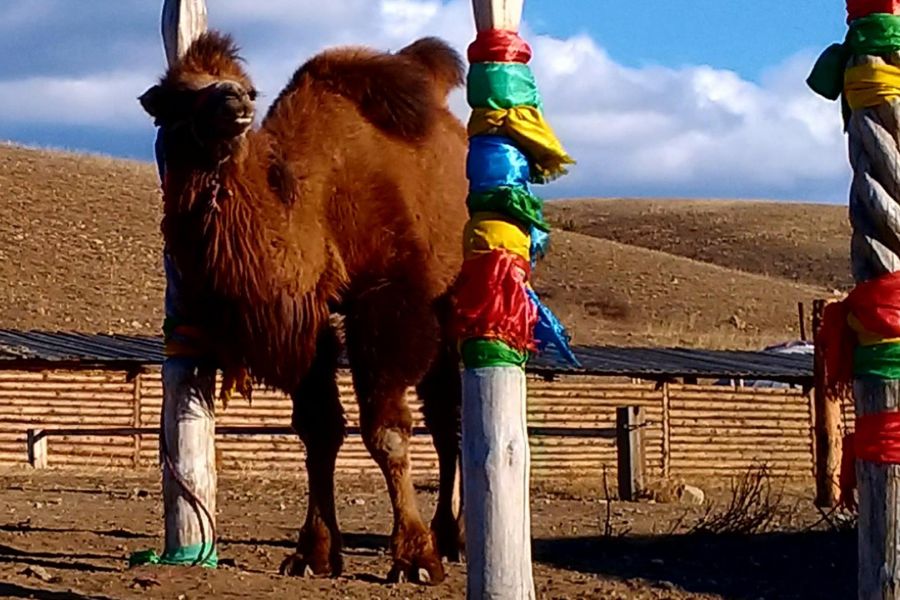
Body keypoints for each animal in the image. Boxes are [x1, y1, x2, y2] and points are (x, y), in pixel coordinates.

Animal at [139, 30, 472, 584]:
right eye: (175, 96)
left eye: (249, 87)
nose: (235, 101)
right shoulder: (306, 320)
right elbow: (318, 430)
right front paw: (313, 553)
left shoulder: (388, 297)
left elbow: (386, 430)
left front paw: (413, 558)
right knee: (447, 417)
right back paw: (449, 536)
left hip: (454, 297)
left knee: (452, 417)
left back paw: (453, 539)